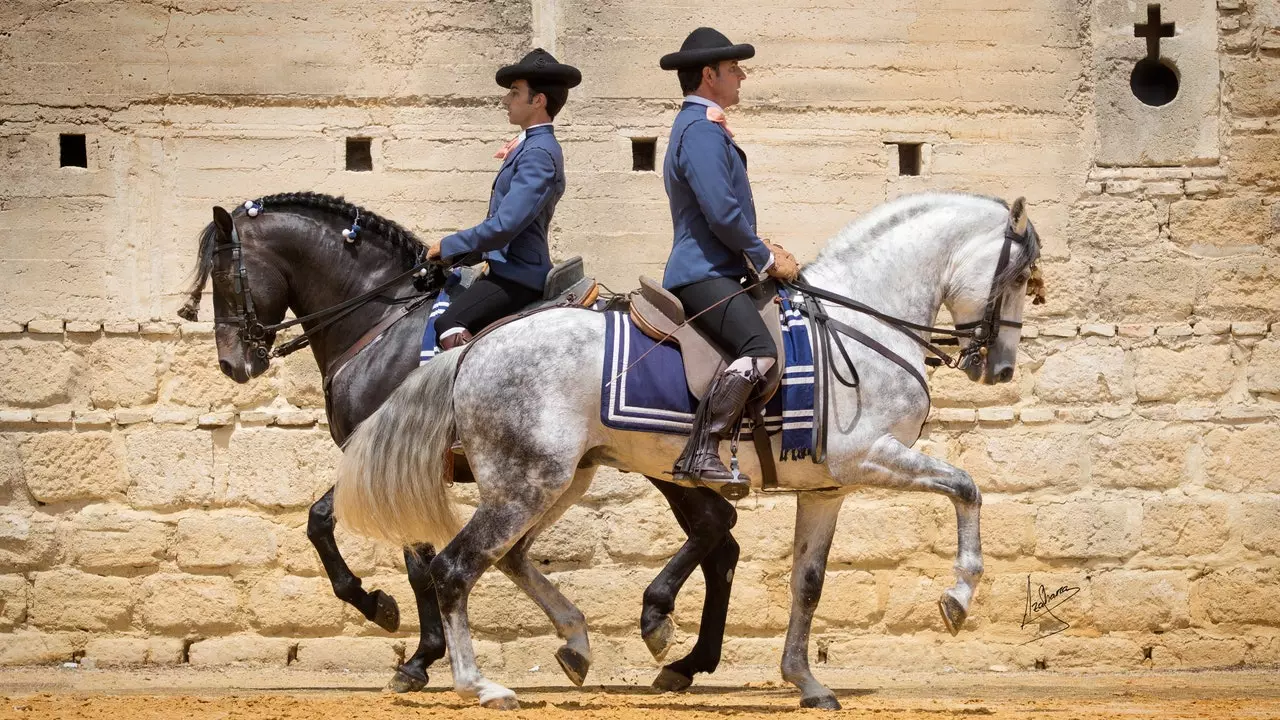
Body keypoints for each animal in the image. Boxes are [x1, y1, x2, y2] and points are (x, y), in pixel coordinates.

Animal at [180, 189, 742, 691]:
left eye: (225, 279)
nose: (232, 364)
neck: (383, 322)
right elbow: (325, 523)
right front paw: (393, 621)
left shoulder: (399, 460)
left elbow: (403, 558)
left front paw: (410, 646)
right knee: (721, 545)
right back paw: (689, 661)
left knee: (715, 528)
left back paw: (661, 625)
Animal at [337, 190, 1039, 707]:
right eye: (1019, 275)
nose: (999, 368)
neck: (863, 320)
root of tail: (471, 349)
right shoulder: (869, 456)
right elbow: (966, 486)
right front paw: (958, 597)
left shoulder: (826, 489)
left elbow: (807, 583)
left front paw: (806, 682)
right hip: (525, 484)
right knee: (456, 568)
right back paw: (480, 684)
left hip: (559, 480)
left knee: (511, 557)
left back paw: (580, 645)